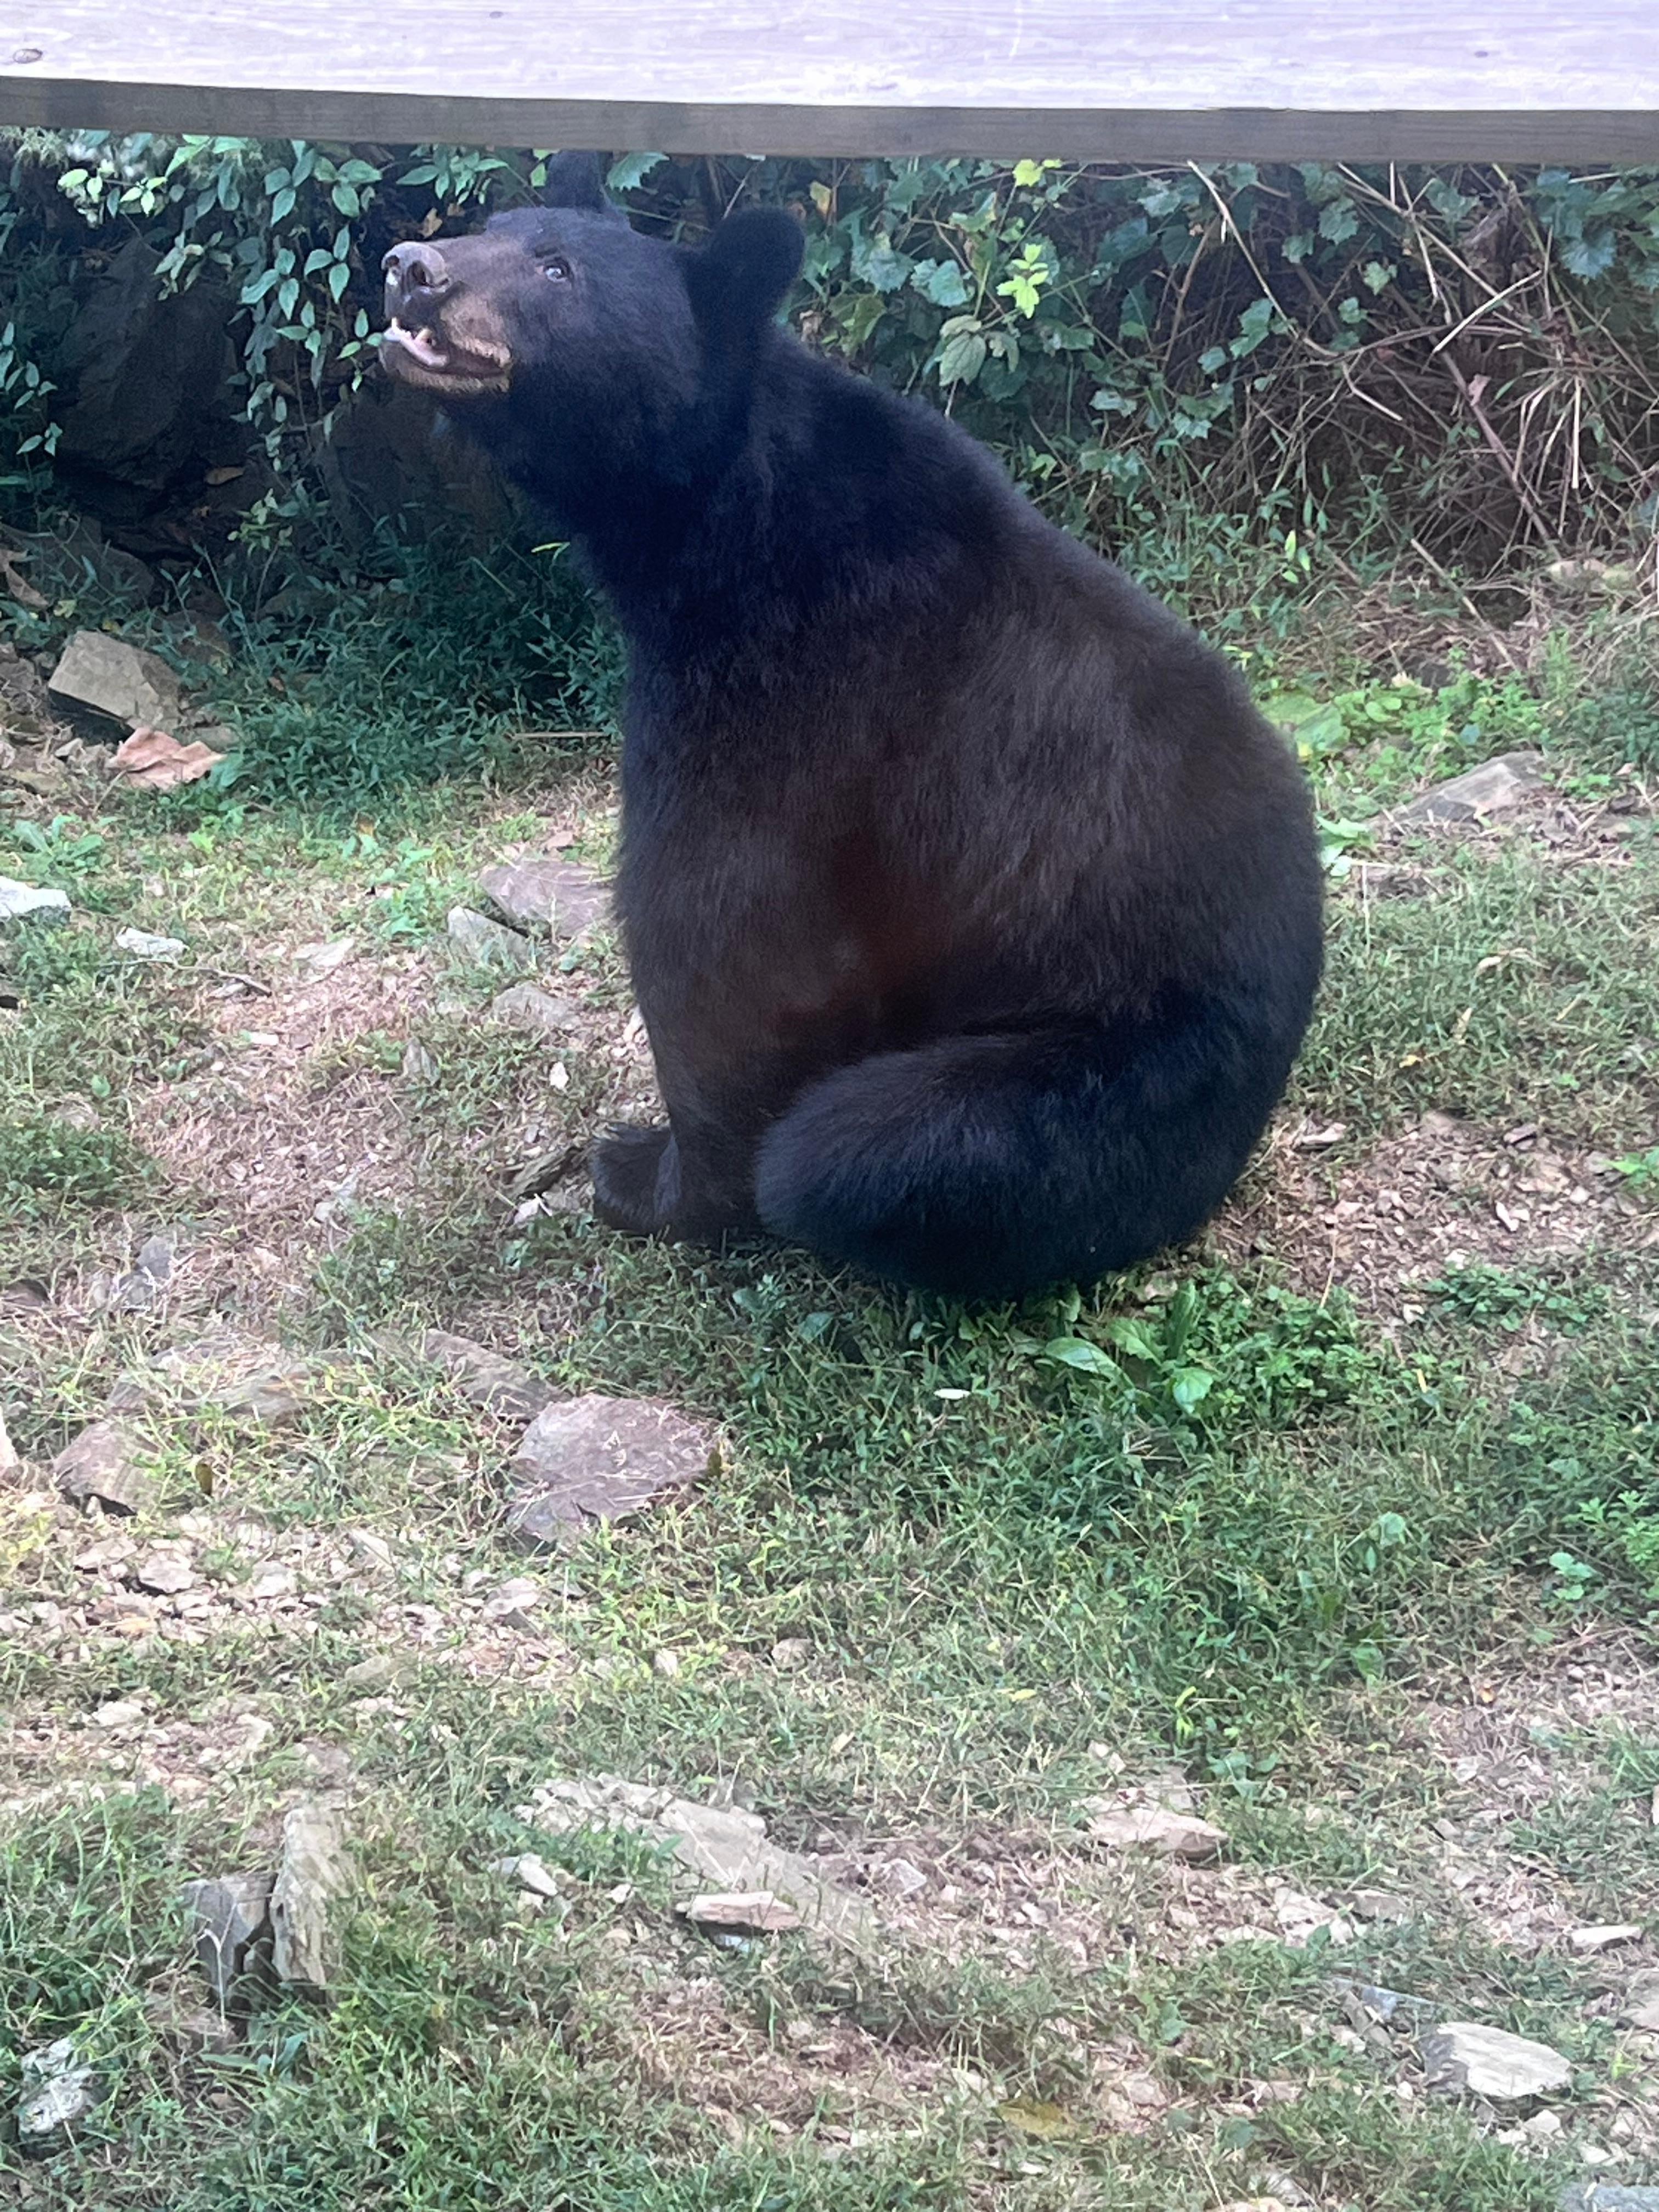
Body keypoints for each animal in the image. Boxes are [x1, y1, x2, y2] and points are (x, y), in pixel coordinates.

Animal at [382, 155, 1323, 1301]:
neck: (715, 517)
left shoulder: (795, 677)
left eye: (555, 268)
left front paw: (644, 1175)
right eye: (490, 226)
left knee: (848, 1149)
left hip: (1114, 1074)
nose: (410, 266)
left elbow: (721, 929)